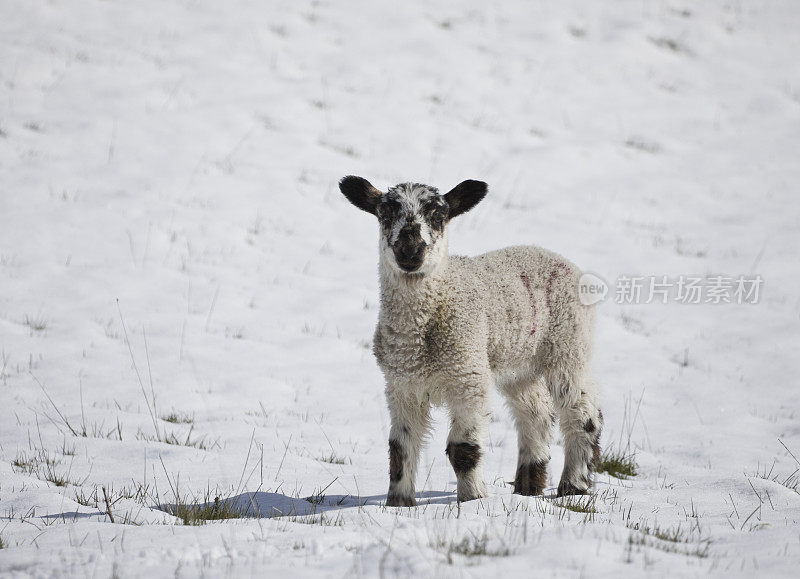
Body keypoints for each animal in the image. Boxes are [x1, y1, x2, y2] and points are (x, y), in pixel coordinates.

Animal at [340, 177, 604, 508]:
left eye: (439, 215)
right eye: (385, 213)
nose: (410, 251)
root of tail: (555, 257)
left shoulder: (468, 376)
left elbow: (462, 450)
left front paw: (472, 499)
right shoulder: (402, 385)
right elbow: (400, 449)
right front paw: (398, 503)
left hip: (567, 346)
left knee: (582, 412)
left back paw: (573, 486)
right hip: (517, 362)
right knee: (537, 413)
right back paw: (528, 485)